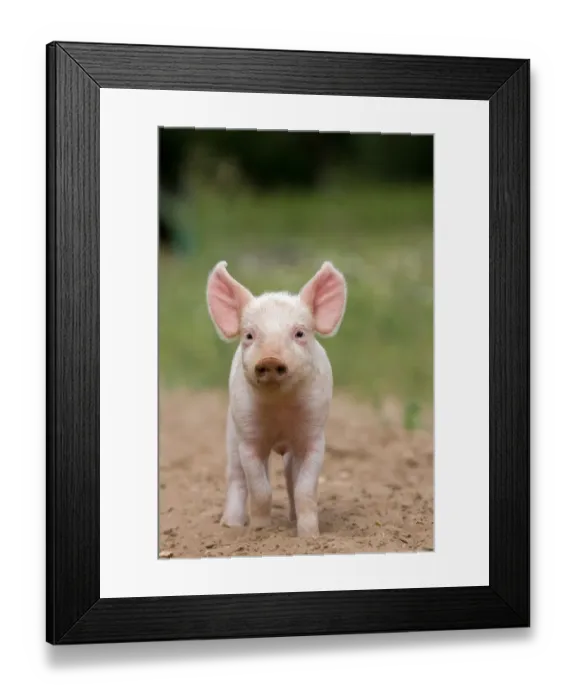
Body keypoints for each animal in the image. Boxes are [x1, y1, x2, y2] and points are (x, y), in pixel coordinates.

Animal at [205, 260, 347, 537]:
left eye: (300, 333)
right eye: (249, 335)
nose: (270, 359)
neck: (279, 408)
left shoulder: (314, 437)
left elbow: (305, 489)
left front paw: (309, 536)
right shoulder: (248, 438)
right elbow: (260, 488)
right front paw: (261, 531)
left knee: (290, 477)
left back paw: (292, 520)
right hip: (231, 431)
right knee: (236, 477)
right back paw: (231, 524)